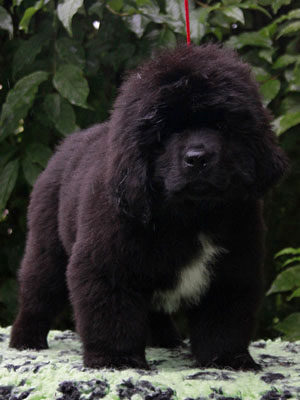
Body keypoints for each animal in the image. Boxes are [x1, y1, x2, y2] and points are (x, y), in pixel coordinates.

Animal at [9, 45, 288, 370]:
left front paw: (227, 360)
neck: (192, 216)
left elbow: (224, 322)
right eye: (166, 131)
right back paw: (26, 340)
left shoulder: (233, 271)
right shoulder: (109, 265)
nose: (197, 158)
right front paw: (115, 360)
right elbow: (112, 316)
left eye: (222, 125)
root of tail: (65, 145)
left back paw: (166, 339)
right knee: (37, 294)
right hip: (47, 247)